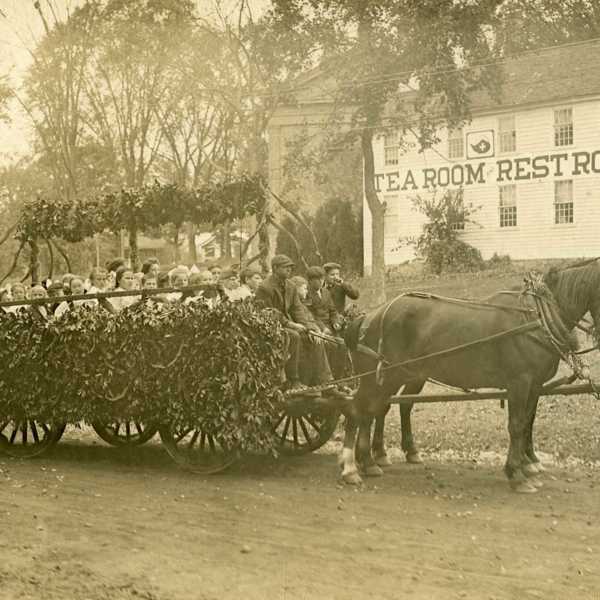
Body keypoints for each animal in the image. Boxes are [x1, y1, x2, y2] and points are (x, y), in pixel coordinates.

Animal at [338, 258, 600, 492]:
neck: (536, 316)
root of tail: (368, 316)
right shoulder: (519, 382)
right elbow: (516, 425)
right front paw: (516, 474)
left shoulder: (534, 385)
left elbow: (527, 422)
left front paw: (527, 466)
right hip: (379, 378)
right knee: (357, 411)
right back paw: (351, 467)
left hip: (395, 377)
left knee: (373, 411)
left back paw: (369, 461)